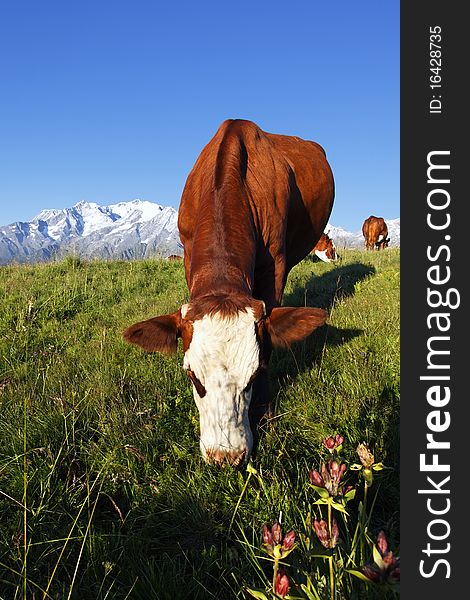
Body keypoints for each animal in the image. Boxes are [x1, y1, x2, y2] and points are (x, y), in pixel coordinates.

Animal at [121, 119, 334, 466]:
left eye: (254, 375)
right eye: (192, 376)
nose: (226, 455)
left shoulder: (275, 265)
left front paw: (263, 410)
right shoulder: (188, 254)